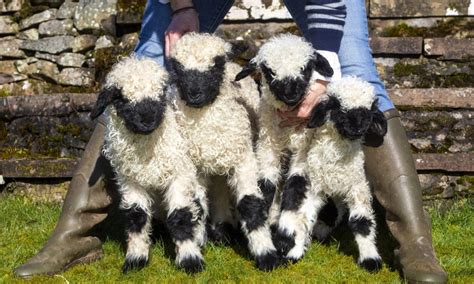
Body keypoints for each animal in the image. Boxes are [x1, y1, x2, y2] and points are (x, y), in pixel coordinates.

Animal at [89, 57, 207, 272]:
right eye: (121, 98)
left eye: (160, 94)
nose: (147, 120)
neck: (147, 154)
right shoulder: (130, 180)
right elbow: (137, 216)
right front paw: (136, 258)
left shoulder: (179, 173)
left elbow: (181, 215)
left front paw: (190, 259)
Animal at [168, 33, 280, 270]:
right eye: (178, 68)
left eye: (216, 65)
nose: (194, 95)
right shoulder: (194, 166)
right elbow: (197, 206)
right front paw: (196, 243)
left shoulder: (244, 158)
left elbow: (250, 203)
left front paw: (266, 254)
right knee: (218, 189)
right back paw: (222, 229)